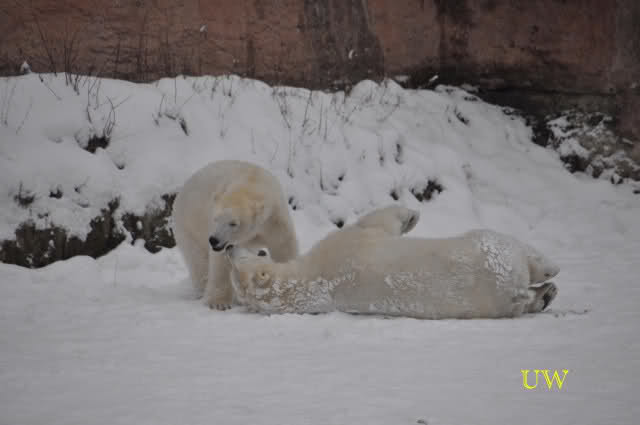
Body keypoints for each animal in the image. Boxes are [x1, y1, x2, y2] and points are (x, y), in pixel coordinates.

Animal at [172, 160, 299, 309]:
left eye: (233, 223)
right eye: (216, 219)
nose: (214, 240)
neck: (252, 182)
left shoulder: (274, 219)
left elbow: (283, 247)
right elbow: (221, 262)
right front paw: (219, 303)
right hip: (188, 225)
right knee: (198, 261)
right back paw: (202, 291)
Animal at [226, 205, 560, 319]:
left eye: (259, 252)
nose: (228, 248)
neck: (307, 281)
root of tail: (510, 289)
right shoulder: (346, 245)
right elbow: (376, 223)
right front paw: (411, 215)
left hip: (493, 302)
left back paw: (545, 295)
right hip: (491, 254)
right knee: (520, 254)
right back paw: (549, 277)